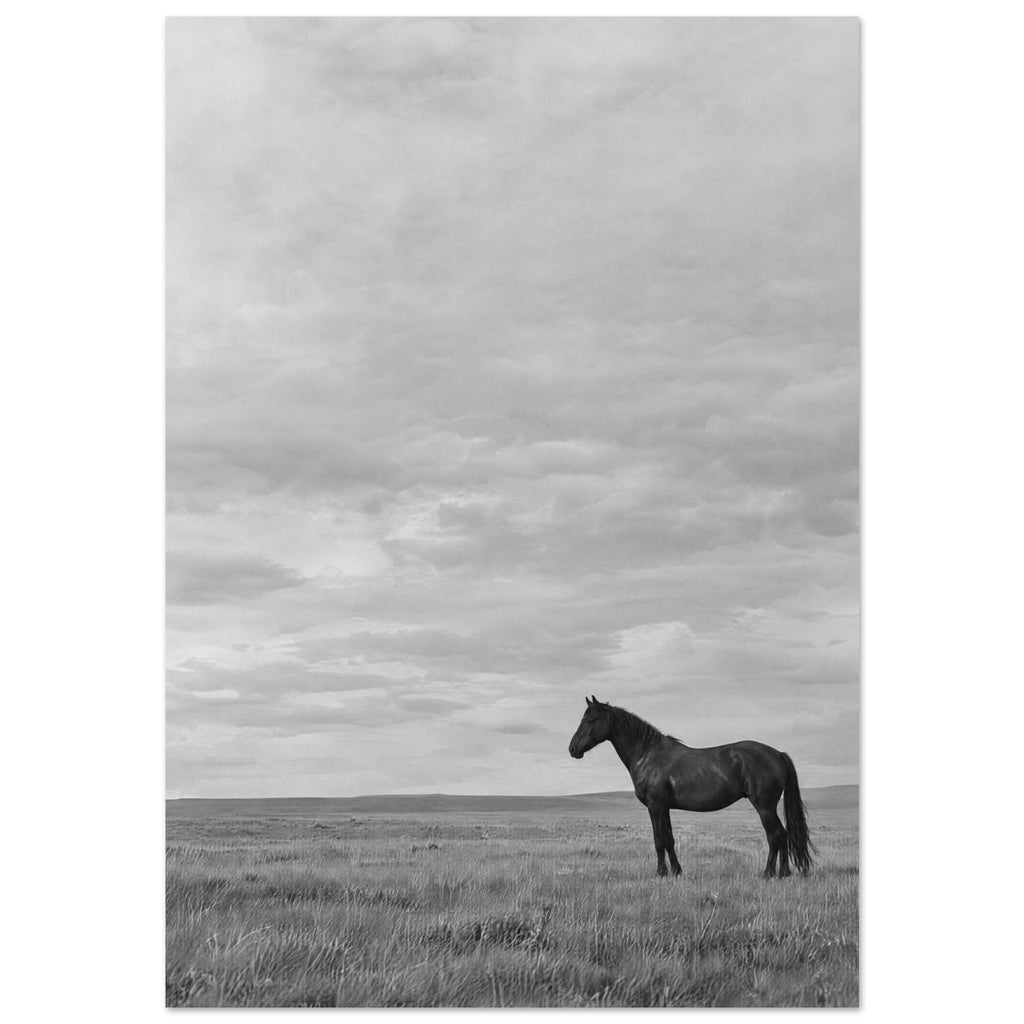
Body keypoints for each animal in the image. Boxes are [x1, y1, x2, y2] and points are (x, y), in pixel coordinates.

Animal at [568, 696, 815, 879]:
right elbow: (669, 839)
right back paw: (783, 873)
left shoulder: (655, 806)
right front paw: (676, 871)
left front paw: (661, 873)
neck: (647, 754)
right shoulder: (664, 808)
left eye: (591, 720)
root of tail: (777, 753)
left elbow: (659, 840)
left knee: (775, 836)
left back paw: (769, 874)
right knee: (782, 835)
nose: (572, 749)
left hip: (764, 807)